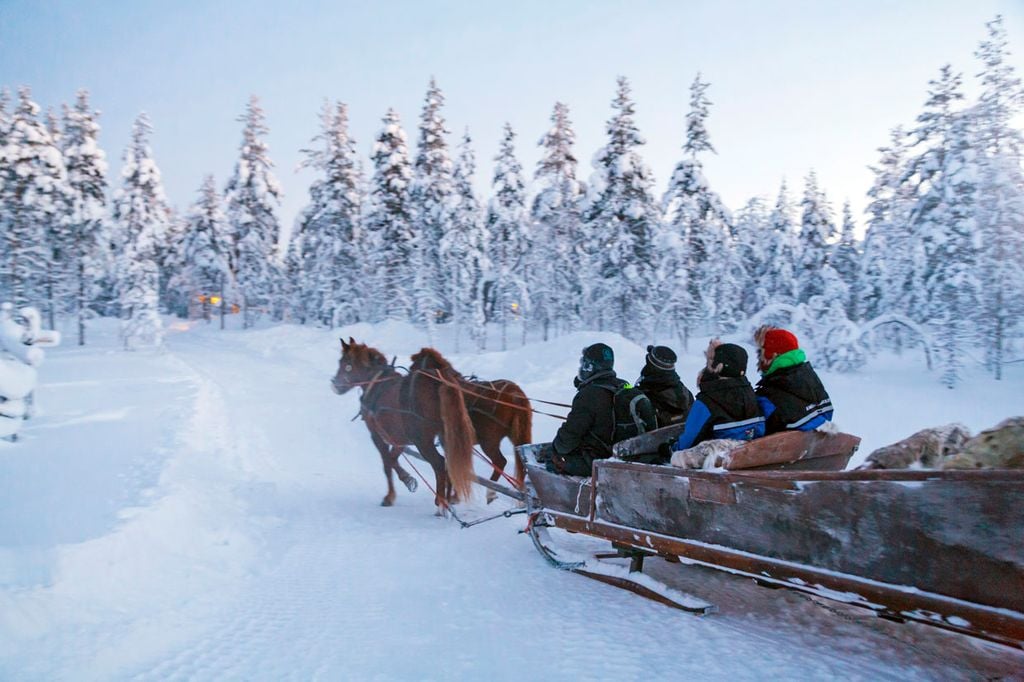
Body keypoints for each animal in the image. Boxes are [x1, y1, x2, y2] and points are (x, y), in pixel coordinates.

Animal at [331, 333, 475, 509]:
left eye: (346, 364)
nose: (334, 384)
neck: (376, 383)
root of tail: (439, 382)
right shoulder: (399, 438)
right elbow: (393, 459)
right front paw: (407, 479)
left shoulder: (377, 435)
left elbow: (387, 463)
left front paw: (390, 495)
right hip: (446, 435)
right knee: (451, 463)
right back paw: (447, 499)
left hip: (423, 440)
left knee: (440, 463)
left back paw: (441, 502)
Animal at [411, 348, 532, 497]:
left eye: (412, 367)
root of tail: (515, 394)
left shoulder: (449, 442)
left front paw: (453, 495)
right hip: (518, 435)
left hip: (489, 441)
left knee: (500, 461)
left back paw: (491, 492)